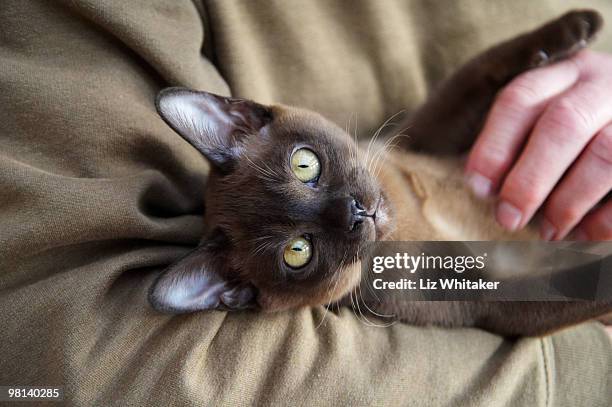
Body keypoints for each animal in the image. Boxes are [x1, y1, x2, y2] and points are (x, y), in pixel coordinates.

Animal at [148, 10, 612, 338]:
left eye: (305, 165)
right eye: (298, 252)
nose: (355, 212)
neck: (405, 220)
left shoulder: (422, 138)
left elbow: (478, 72)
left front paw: (579, 26)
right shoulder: (488, 296)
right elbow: (582, 282)